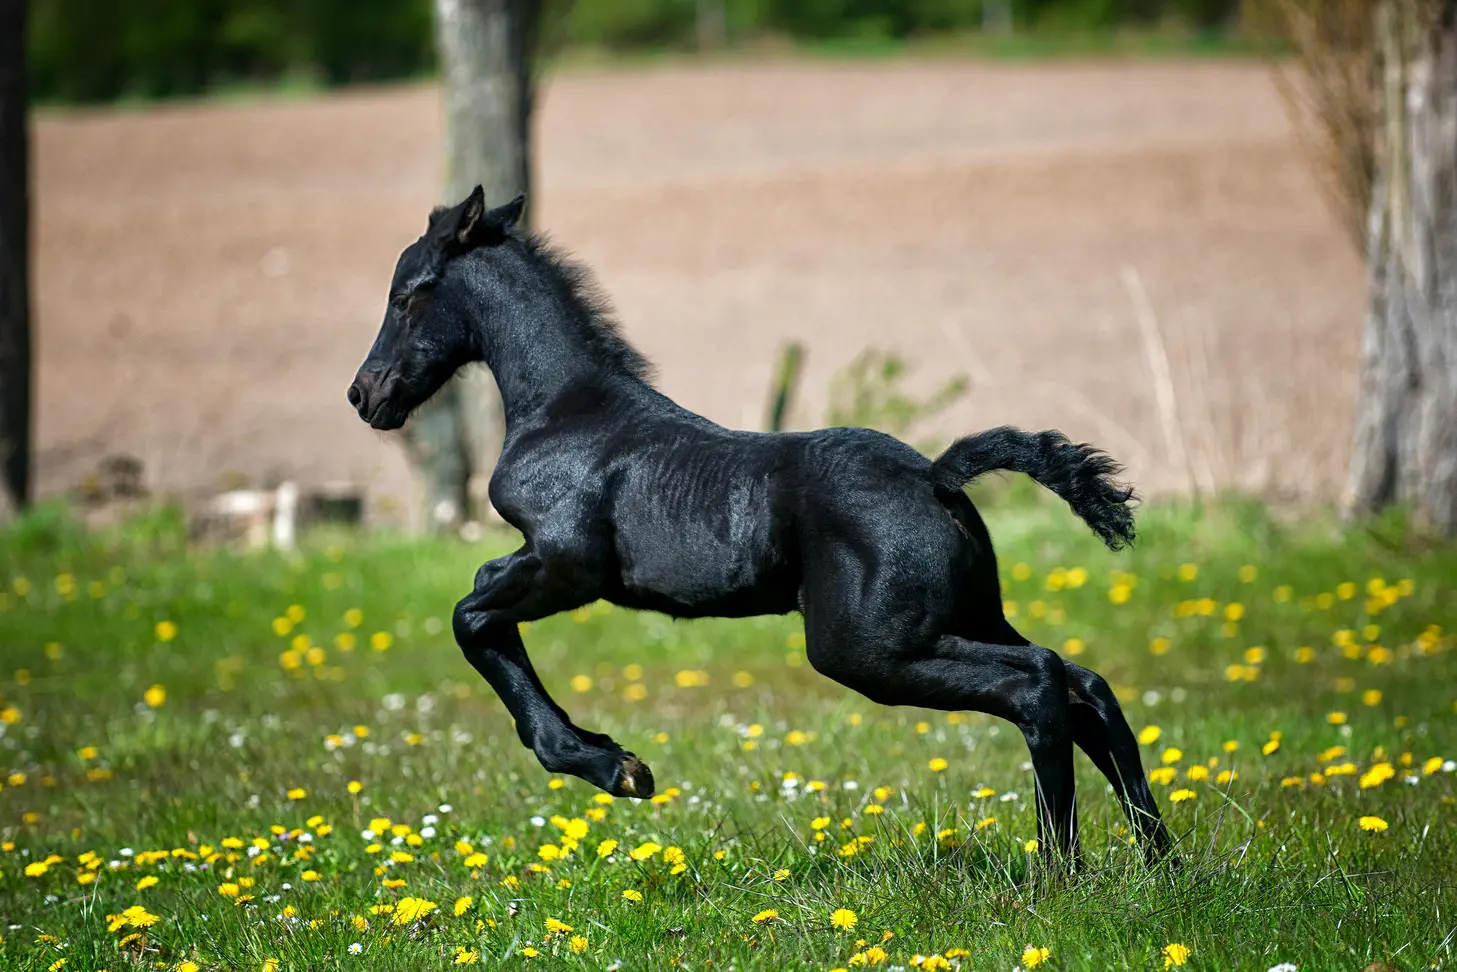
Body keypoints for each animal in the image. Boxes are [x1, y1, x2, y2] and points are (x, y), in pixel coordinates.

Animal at [343, 186, 1171, 862]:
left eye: (407, 294)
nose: (363, 394)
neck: (567, 411)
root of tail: (936, 476)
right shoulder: (539, 563)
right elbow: (481, 604)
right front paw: (608, 756)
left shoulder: (566, 566)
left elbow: (470, 615)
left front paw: (614, 767)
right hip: (962, 617)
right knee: (1085, 684)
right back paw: (1158, 862)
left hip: (869, 649)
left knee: (1038, 683)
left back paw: (1059, 870)